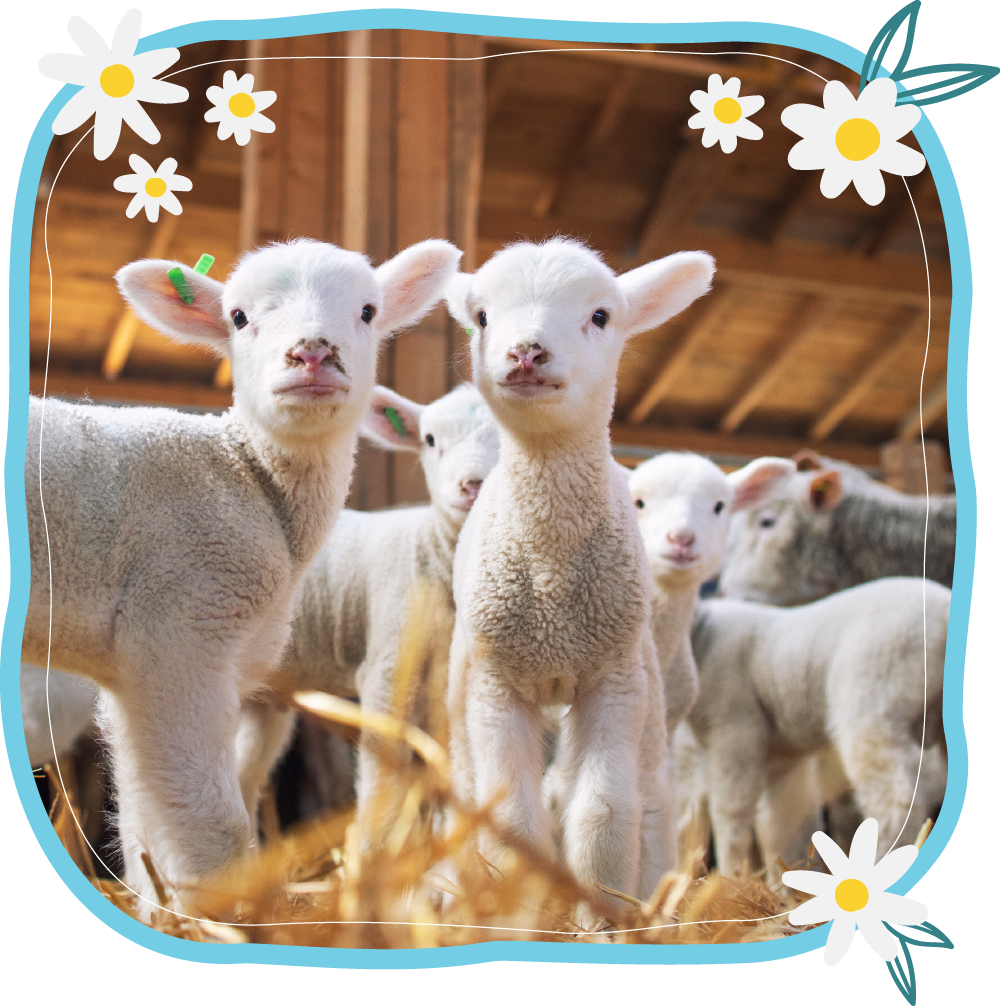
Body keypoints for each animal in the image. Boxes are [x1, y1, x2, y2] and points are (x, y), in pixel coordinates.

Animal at [22, 237, 460, 916]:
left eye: (367, 310)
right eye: (238, 317)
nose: (313, 353)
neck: (248, 473)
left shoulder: (137, 668)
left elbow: (149, 816)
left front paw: (165, 906)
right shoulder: (181, 625)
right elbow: (212, 823)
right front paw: (221, 914)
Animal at [236, 382, 500, 835]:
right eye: (430, 440)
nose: (474, 485)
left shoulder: (448, 686)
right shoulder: (387, 666)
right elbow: (381, 786)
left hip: (262, 696)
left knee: (242, 778)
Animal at [444, 237, 715, 912]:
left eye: (600, 315)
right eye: (481, 318)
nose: (526, 352)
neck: (550, 581)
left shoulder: (611, 679)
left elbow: (604, 812)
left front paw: (602, 911)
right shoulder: (496, 683)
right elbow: (511, 819)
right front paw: (521, 906)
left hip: (644, 681)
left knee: (648, 797)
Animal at [683, 577, 949, 880]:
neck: (701, 634)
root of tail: (945, 612)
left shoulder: (734, 730)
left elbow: (730, 814)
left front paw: (729, 878)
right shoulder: (779, 756)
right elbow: (780, 826)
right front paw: (782, 882)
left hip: (872, 701)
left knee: (895, 802)